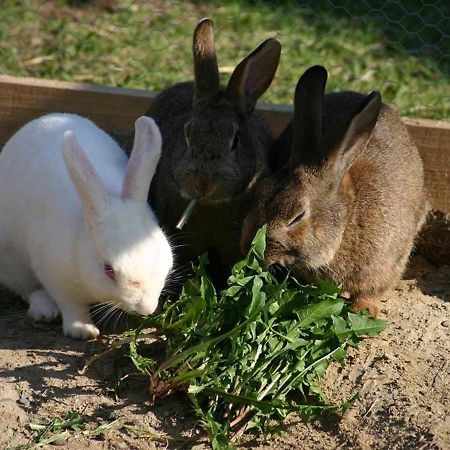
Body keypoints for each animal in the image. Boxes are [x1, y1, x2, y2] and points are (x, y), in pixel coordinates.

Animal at [0, 114, 173, 340]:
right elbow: (72, 306)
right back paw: (44, 310)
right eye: (108, 270)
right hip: (12, 265)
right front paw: (83, 330)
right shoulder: (56, 278)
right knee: (28, 290)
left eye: (157, 256)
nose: (145, 308)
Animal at [241, 65, 428, 314]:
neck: (348, 218)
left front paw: (363, 310)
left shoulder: (387, 264)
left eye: (297, 217)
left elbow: (371, 293)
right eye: (259, 193)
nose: (249, 250)